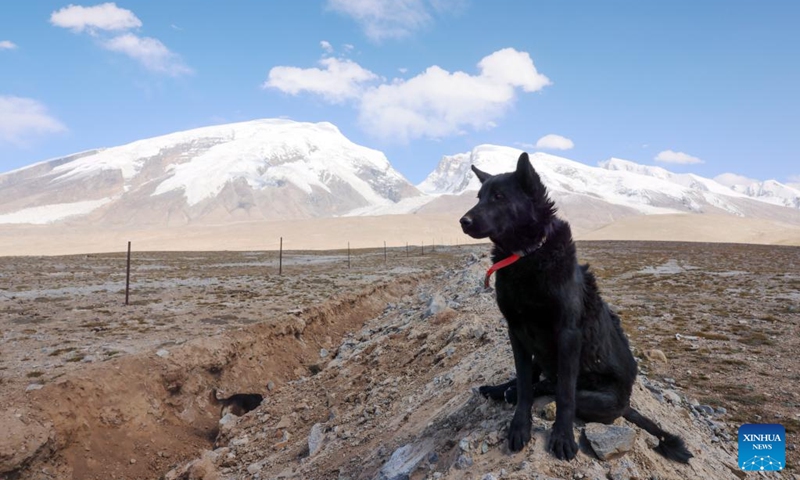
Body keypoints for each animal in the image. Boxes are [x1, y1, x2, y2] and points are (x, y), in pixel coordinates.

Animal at [462, 152, 692, 464]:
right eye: (479, 197)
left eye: (499, 197)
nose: (463, 220)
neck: (527, 256)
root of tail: (627, 404)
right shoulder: (516, 330)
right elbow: (523, 381)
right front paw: (519, 425)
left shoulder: (568, 334)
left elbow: (564, 395)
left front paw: (562, 437)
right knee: (533, 378)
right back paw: (501, 390)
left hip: (597, 397)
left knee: (555, 387)